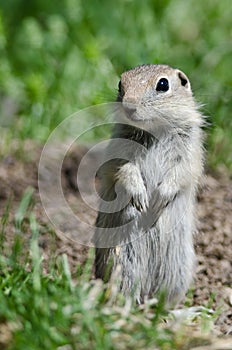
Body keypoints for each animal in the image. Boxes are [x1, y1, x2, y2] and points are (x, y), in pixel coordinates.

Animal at [93, 64, 204, 304]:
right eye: (120, 84)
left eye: (163, 84)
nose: (129, 106)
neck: (155, 130)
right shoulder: (118, 151)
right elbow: (124, 169)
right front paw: (141, 199)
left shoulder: (189, 151)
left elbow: (181, 173)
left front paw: (158, 199)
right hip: (121, 261)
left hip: (179, 268)